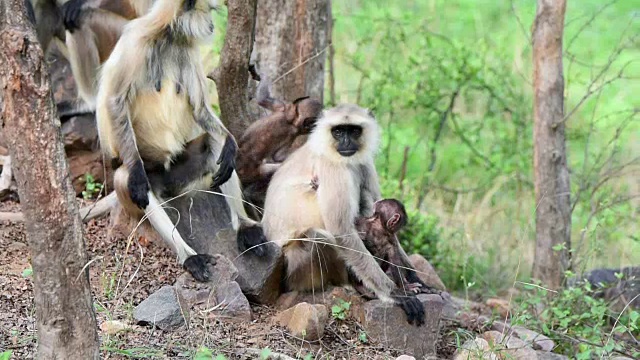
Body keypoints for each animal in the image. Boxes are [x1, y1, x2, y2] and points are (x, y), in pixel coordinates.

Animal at [95, 0, 268, 282]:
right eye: (209, 12)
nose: (211, 26)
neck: (168, 37)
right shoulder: (135, 43)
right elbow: (115, 102)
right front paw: (137, 175)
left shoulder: (186, 50)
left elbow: (199, 109)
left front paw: (231, 142)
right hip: (143, 179)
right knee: (131, 182)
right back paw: (190, 257)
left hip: (183, 178)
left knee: (216, 147)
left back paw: (245, 227)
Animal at [262, 104, 428, 326]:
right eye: (339, 131)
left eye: (354, 131)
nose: (346, 142)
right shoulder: (333, 165)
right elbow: (341, 231)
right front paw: (395, 294)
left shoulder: (363, 160)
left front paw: (416, 280)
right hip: (295, 269)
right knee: (317, 237)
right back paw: (356, 286)